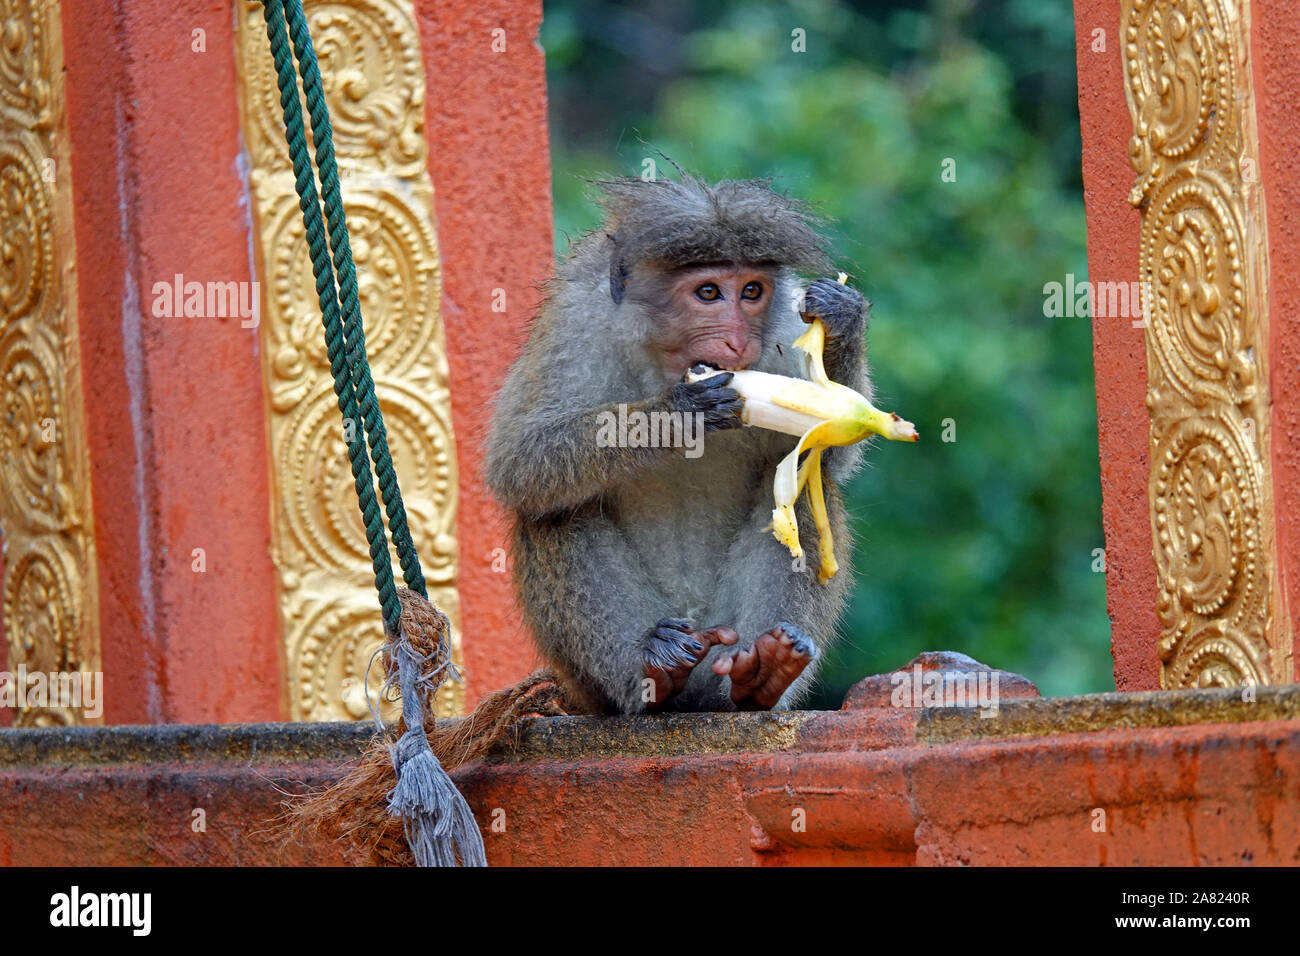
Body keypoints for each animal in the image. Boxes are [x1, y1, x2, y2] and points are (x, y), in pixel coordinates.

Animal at [488, 175, 873, 712]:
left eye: (751, 291)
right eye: (708, 292)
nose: (738, 342)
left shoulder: (785, 331)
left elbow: (826, 460)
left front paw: (841, 320)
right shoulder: (576, 328)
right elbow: (520, 461)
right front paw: (678, 414)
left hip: (722, 645)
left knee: (794, 490)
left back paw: (762, 673)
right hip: (596, 681)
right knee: (555, 510)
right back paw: (653, 670)